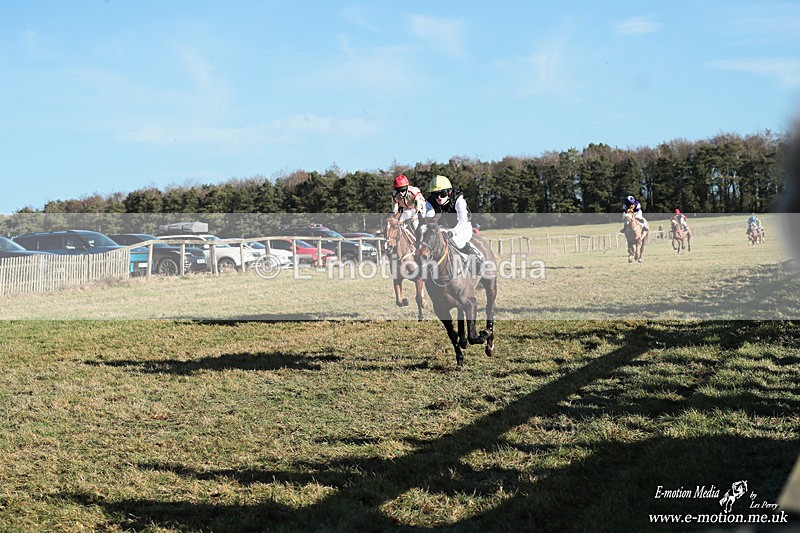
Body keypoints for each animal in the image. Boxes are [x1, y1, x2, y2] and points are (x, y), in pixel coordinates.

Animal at [415, 217, 497, 367]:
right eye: (417, 232)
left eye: (433, 232)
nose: (419, 257)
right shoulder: (440, 309)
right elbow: (452, 334)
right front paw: (459, 358)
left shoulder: (471, 303)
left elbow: (473, 336)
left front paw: (484, 335)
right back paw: (463, 340)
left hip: (491, 285)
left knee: (490, 308)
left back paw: (489, 342)